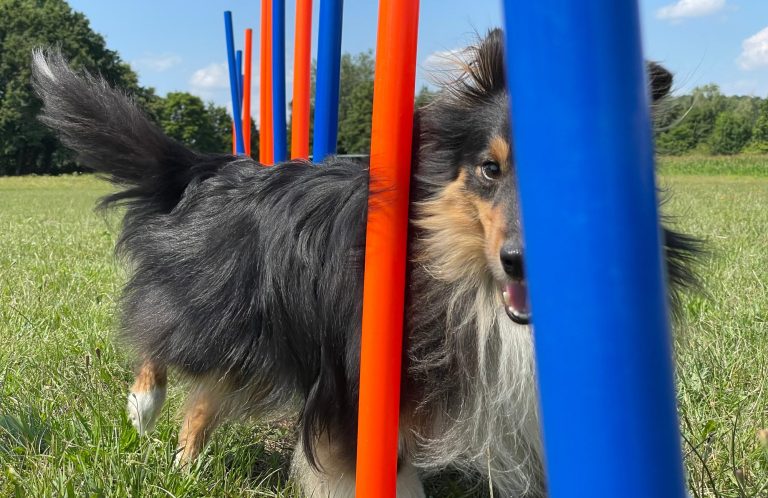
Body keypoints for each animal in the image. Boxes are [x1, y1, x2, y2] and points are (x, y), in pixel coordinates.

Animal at [32, 29, 698, 497]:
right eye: (490, 168)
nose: (519, 264)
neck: (465, 281)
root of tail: (215, 167)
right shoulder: (358, 390)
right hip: (215, 307)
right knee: (160, 336)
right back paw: (142, 407)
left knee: (206, 396)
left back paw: (184, 467)